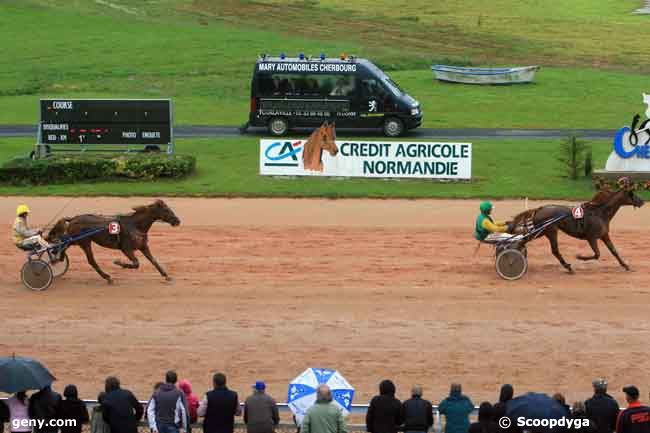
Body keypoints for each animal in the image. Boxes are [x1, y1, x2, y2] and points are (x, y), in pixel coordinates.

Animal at [512, 182, 644, 274]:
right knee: (551, 249)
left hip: (543, 231)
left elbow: (614, 251)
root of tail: (540, 208)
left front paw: (626, 266)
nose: (642, 201)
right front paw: (580, 256)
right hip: (547, 231)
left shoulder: (604, 235)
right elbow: (597, 254)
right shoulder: (591, 237)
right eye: (632, 193)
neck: (599, 213)